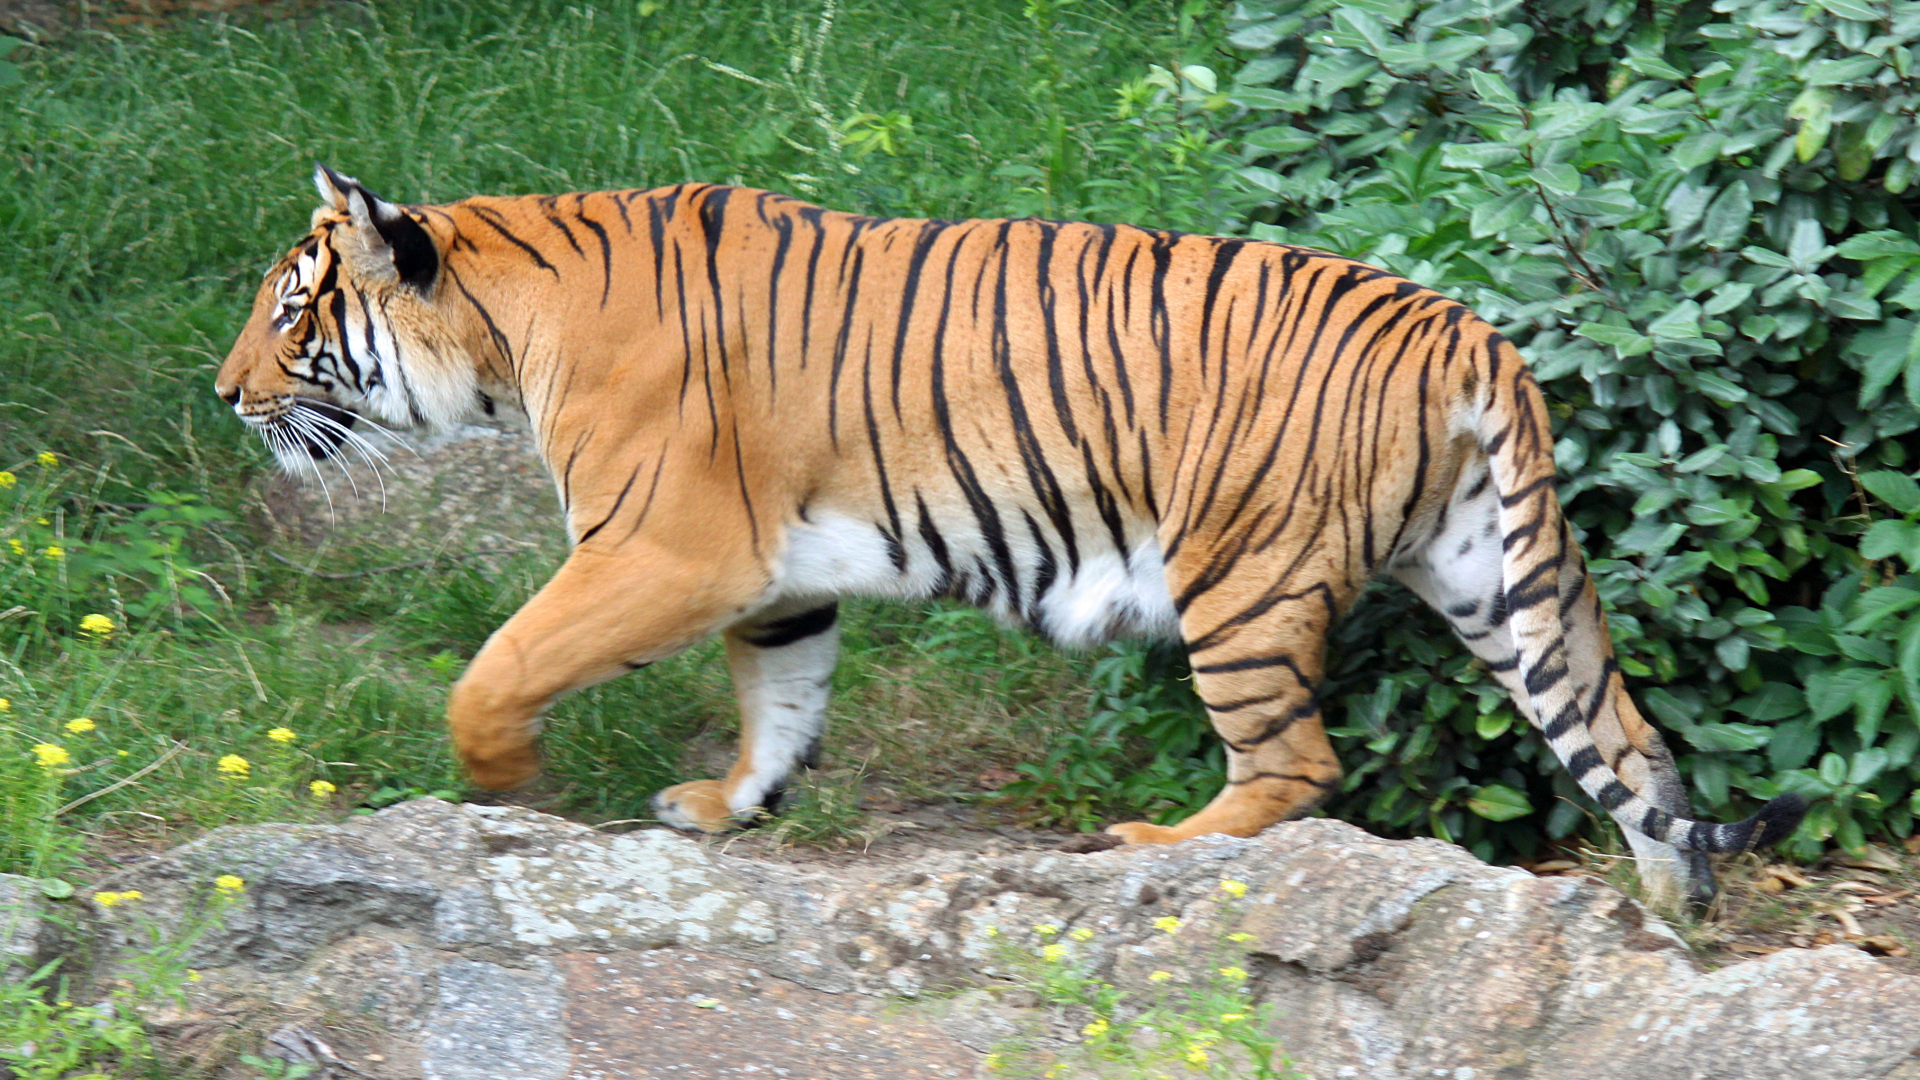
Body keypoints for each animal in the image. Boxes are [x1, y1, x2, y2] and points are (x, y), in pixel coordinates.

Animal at [216, 164, 1806, 906]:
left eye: (294, 312)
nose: (226, 393)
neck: (507, 328)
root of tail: (1465, 326)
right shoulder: (772, 580)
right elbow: (783, 701)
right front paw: (732, 805)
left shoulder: (663, 551)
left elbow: (496, 665)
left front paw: (505, 787)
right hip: (1494, 577)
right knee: (1630, 744)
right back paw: (1674, 907)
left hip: (1238, 576)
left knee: (1296, 765)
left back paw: (1155, 844)